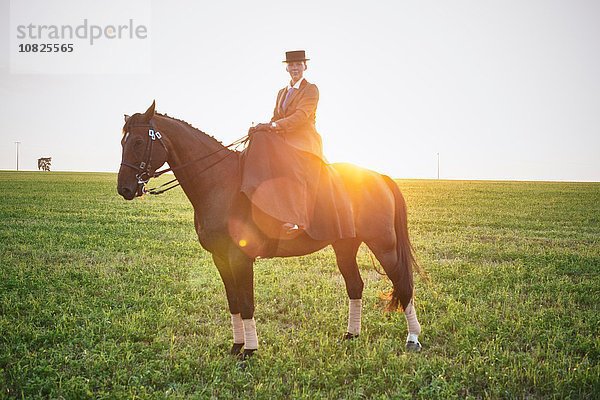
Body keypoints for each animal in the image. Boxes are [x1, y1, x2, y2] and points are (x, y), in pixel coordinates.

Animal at [117, 101, 424, 358]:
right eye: (122, 142)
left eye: (139, 141)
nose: (125, 189)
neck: (220, 184)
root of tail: (379, 177)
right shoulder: (220, 258)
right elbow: (233, 303)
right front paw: (236, 346)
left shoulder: (240, 258)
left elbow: (247, 303)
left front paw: (249, 352)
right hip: (345, 246)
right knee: (355, 286)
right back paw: (352, 335)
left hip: (384, 244)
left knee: (403, 284)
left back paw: (412, 339)